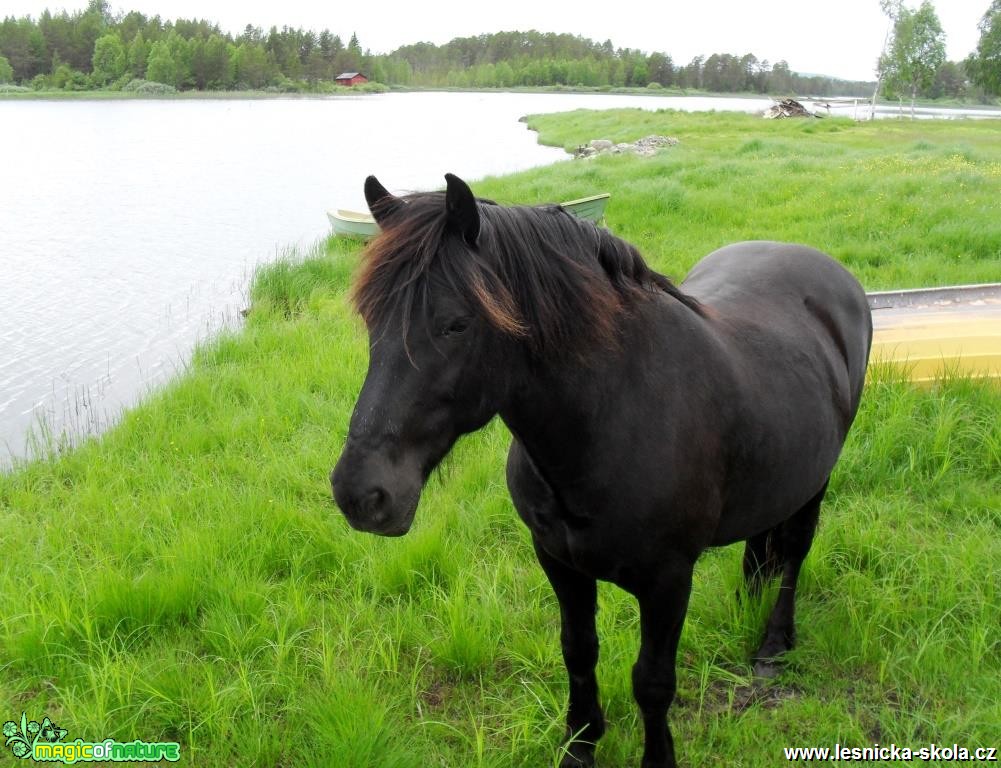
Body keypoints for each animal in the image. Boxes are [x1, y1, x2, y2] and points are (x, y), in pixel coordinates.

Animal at [332, 174, 872, 768]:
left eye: (455, 324)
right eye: (370, 319)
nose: (360, 494)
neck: (611, 418)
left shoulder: (668, 581)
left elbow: (653, 681)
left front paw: (656, 759)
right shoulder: (558, 560)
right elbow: (578, 651)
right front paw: (581, 743)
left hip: (815, 483)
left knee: (794, 553)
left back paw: (774, 642)